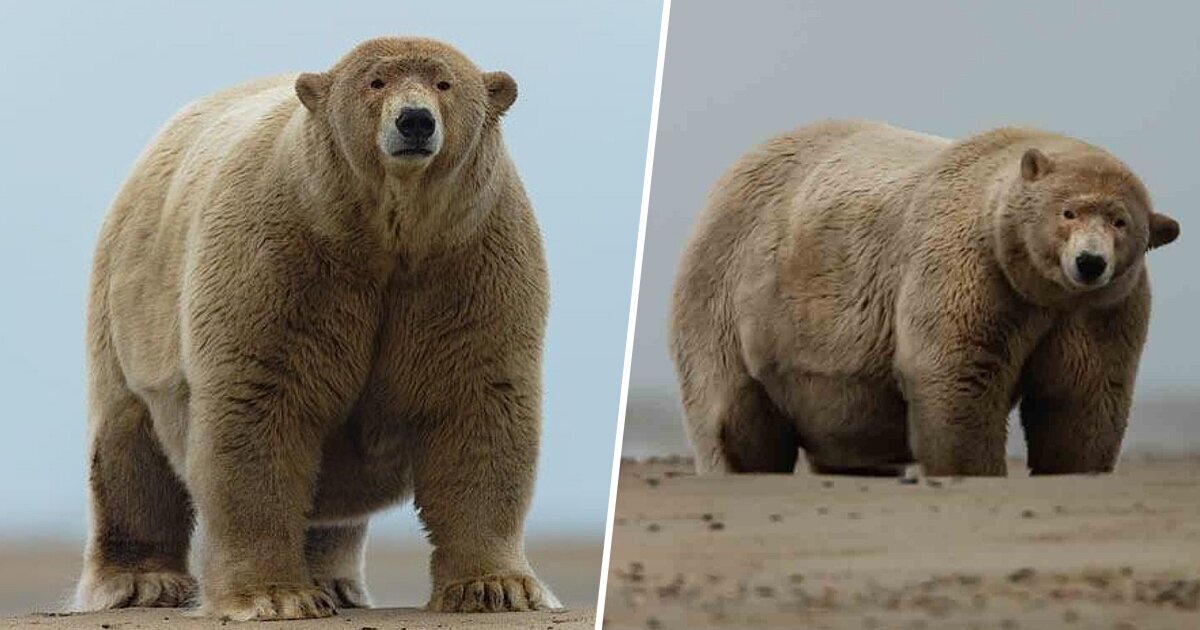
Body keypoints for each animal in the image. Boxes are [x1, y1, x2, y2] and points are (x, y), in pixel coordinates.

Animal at [78, 38, 556, 619]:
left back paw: (336, 581)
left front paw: (496, 587)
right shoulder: (283, 256)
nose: (415, 121)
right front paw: (274, 596)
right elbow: (260, 406)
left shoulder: (468, 261)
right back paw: (141, 583)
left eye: (444, 83)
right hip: (129, 305)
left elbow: (477, 404)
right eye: (375, 82)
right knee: (128, 443)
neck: (385, 236)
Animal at [676, 120, 1180, 477]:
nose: (1090, 262)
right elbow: (957, 376)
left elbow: (1083, 394)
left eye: (1120, 221)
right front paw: (975, 469)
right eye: (1068, 212)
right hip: (731, 293)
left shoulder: (1098, 310)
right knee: (732, 416)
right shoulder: (970, 268)